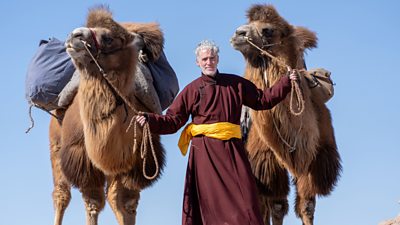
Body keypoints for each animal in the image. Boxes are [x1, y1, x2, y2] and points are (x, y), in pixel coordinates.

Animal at [231, 3, 340, 225]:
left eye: (267, 30)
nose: (238, 33)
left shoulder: (314, 162)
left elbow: (307, 206)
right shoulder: (266, 163)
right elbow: (277, 207)